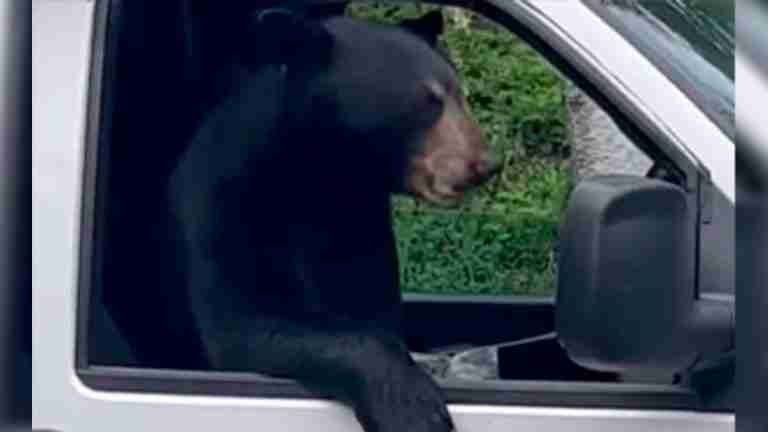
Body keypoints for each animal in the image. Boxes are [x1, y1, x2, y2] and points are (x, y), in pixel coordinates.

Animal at [169, 9, 497, 432]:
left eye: (460, 94)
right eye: (428, 101)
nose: (485, 164)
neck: (324, 180)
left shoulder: (359, 225)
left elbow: (370, 303)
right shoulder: (224, 206)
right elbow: (241, 320)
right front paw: (411, 406)